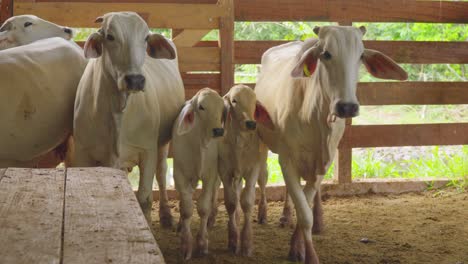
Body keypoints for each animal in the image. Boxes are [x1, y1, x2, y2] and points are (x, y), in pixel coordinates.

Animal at [72, 11, 184, 223]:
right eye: (110, 36)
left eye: (146, 38)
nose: (135, 80)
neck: (118, 110)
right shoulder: (82, 153)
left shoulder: (147, 151)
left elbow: (144, 199)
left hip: (162, 144)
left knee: (162, 173)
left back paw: (166, 214)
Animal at [171, 88, 226, 260]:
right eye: (201, 107)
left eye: (221, 107)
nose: (218, 130)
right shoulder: (179, 174)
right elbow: (187, 208)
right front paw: (186, 244)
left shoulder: (210, 175)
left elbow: (203, 208)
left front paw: (202, 243)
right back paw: (180, 225)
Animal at [218, 84, 274, 256]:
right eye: (234, 100)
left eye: (254, 102)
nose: (251, 123)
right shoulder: (224, 171)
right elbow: (231, 202)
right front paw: (232, 240)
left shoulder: (252, 169)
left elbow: (247, 201)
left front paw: (247, 243)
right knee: (236, 192)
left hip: (263, 168)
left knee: (262, 187)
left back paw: (262, 214)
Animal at [254, 25, 408, 264]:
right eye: (326, 54)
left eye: (361, 56)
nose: (347, 107)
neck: (313, 116)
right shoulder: (287, 159)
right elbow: (302, 209)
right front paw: (307, 253)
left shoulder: (323, 162)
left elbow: (306, 207)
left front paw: (297, 245)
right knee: (266, 180)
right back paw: (275, 215)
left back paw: (315, 220)